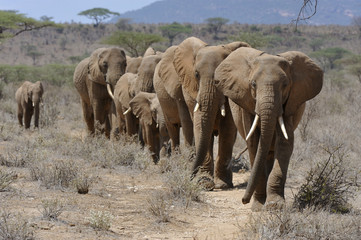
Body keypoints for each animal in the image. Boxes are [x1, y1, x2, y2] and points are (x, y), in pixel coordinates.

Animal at [172, 36, 250, 189]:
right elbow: (199, 126)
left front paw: (223, 184)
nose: (190, 177)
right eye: (196, 74)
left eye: (221, 78)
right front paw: (204, 183)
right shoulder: (192, 91)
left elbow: (228, 129)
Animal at [214, 47, 324, 210]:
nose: (244, 200)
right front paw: (259, 207)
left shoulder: (289, 104)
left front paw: (275, 205)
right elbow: (254, 143)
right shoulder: (247, 102)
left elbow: (285, 143)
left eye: (285, 84)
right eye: (253, 84)